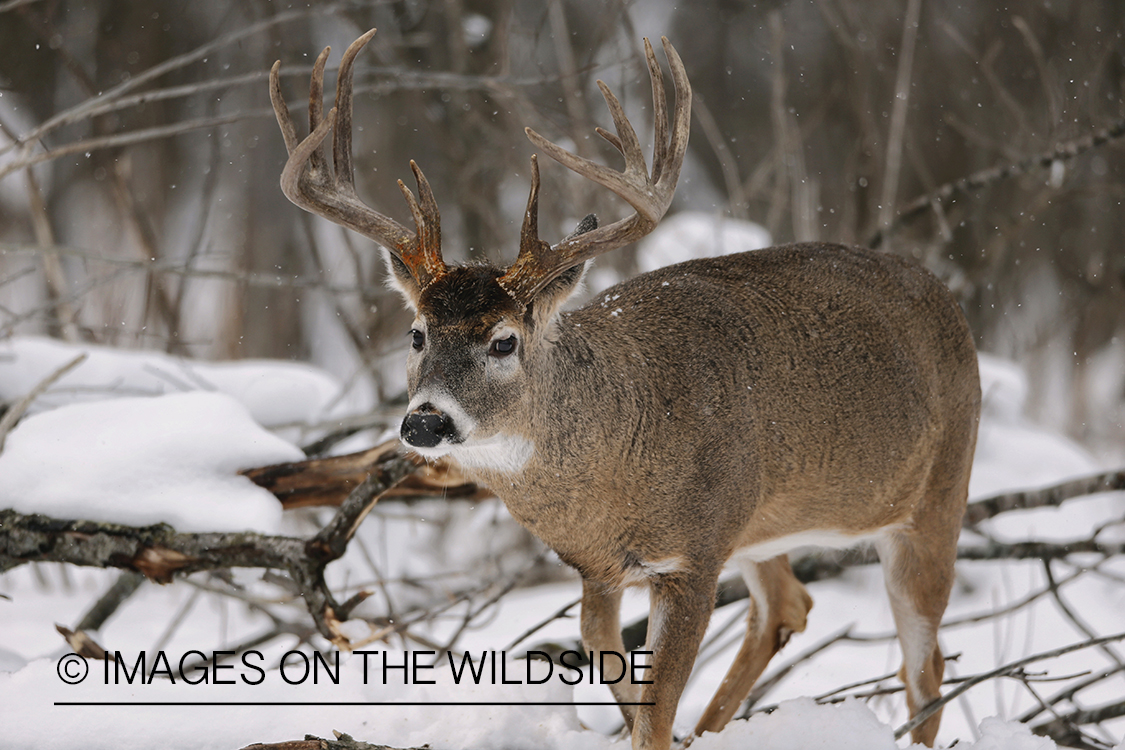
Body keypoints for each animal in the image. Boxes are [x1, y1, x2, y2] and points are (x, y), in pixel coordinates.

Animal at [270, 29, 976, 750]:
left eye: (504, 341)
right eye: (415, 334)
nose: (424, 423)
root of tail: (945, 296)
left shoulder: (695, 553)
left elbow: (654, 712)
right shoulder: (599, 566)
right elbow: (615, 672)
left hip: (936, 497)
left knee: (925, 667)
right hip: (760, 524)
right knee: (789, 606)